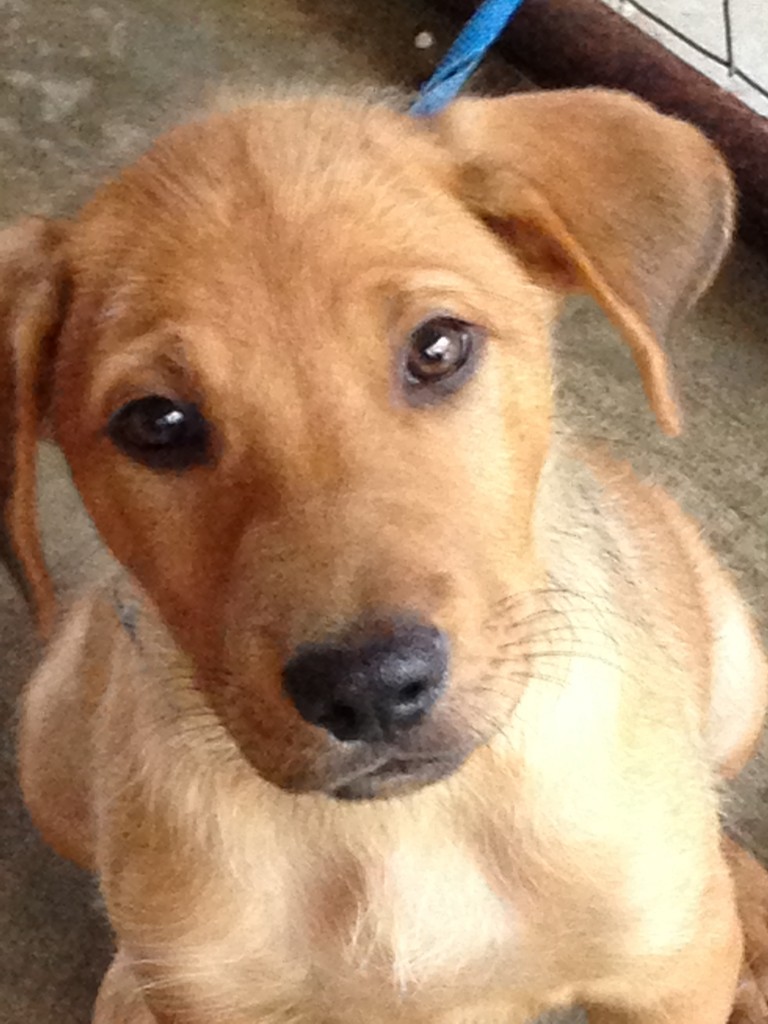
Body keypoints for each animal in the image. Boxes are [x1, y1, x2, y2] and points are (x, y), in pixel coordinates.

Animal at [3, 87, 768, 1023]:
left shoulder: (666, 974)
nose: (367, 687)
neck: (408, 829)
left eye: (438, 347)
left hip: (736, 674)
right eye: (158, 423)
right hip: (46, 749)